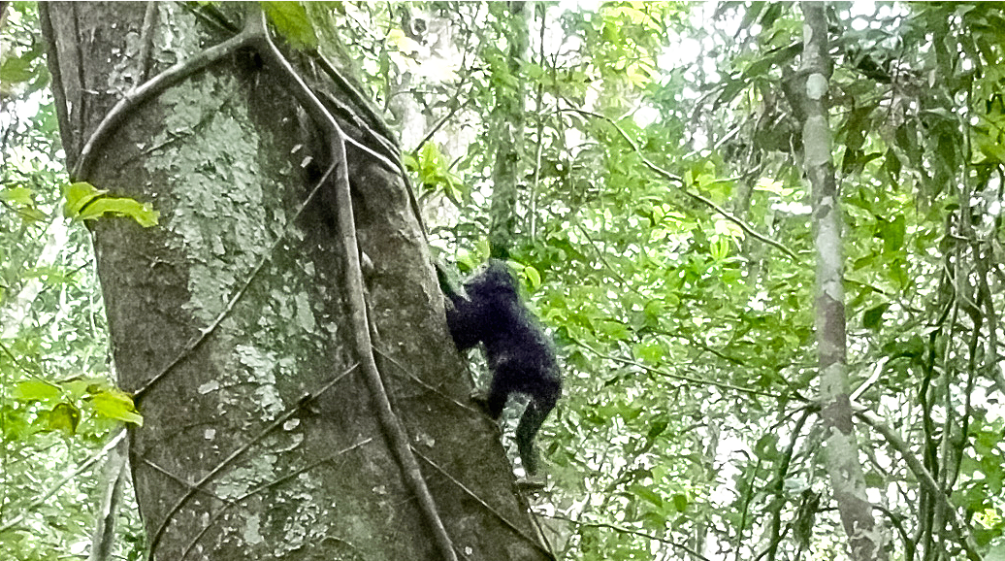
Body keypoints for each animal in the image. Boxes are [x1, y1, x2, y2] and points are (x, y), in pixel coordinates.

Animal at [438, 259, 562, 474]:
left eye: (484, 268)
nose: (477, 269)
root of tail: (557, 384)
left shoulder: (491, 308)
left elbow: (460, 330)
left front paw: (441, 275)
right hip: (543, 398)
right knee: (525, 431)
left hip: (531, 376)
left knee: (505, 369)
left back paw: (491, 405)